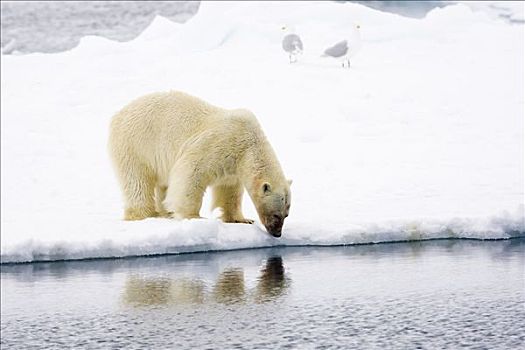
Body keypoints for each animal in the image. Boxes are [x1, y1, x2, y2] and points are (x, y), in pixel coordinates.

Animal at [108, 91, 290, 237]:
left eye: (286, 214)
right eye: (276, 215)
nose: (277, 233)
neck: (250, 145)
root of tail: (118, 115)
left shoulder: (234, 166)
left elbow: (230, 190)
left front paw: (242, 219)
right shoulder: (219, 143)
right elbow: (190, 173)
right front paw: (194, 217)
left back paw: (166, 212)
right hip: (136, 145)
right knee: (137, 182)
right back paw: (144, 214)